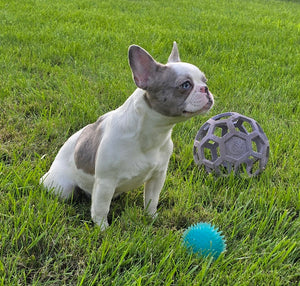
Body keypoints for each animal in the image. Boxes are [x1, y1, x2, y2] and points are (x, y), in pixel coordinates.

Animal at [40, 43, 213, 230]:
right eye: (185, 85)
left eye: (205, 80)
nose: (206, 89)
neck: (152, 133)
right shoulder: (105, 183)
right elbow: (101, 208)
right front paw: (103, 229)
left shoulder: (157, 176)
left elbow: (151, 200)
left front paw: (151, 218)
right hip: (62, 188)